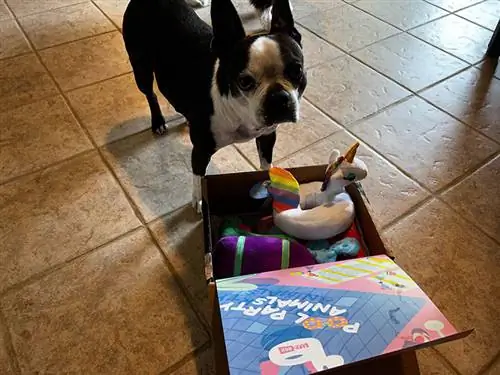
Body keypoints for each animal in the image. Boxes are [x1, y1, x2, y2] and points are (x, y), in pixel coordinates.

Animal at [123, 0, 306, 212]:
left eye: (297, 70)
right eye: (244, 81)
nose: (278, 98)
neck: (240, 114)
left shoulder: (268, 135)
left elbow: (265, 164)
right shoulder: (200, 151)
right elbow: (198, 177)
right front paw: (199, 200)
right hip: (141, 68)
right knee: (150, 93)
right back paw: (158, 122)